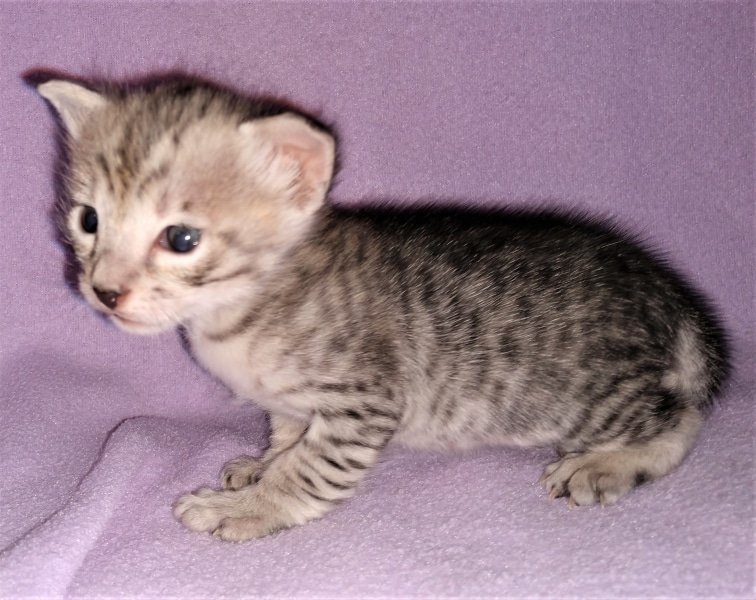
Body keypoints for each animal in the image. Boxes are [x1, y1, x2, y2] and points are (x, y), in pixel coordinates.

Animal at [35, 75, 728, 541]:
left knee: (681, 417)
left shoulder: (365, 401)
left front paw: (252, 508)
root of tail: (658, 282)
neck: (242, 311)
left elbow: (311, 469)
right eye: (89, 220)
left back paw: (609, 463)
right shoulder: (293, 403)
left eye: (181, 239)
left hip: (582, 397)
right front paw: (261, 467)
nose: (104, 290)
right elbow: (288, 439)